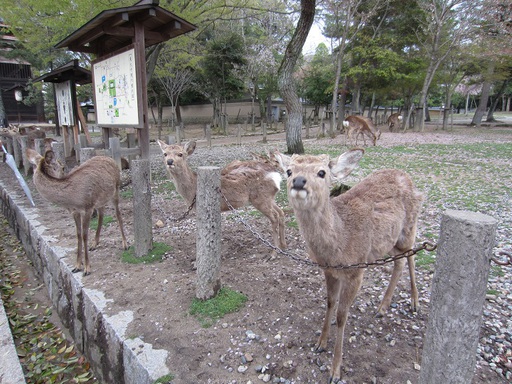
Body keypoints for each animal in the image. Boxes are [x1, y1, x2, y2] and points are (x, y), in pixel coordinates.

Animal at [26, 148, 127, 276]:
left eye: (63, 167)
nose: (64, 173)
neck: (72, 199)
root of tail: (109, 158)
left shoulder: (87, 207)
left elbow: (84, 235)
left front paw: (87, 268)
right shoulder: (75, 211)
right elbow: (78, 235)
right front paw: (77, 266)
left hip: (116, 189)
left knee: (118, 214)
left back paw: (125, 244)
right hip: (100, 199)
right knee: (102, 213)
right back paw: (94, 243)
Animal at [156, 141, 286, 252]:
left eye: (180, 154)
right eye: (165, 154)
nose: (169, 161)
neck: (192, 192)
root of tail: (275, 174)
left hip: (260, 198)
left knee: (274, 217)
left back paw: (274, 252)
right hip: (269, 197)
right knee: (281, 212)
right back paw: (283, 246)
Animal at [274, 148, 422, 382]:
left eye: (322, 172)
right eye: (288, 171)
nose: (298, 181)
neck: (339, 241)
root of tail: (408, 177)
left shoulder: (356, 270)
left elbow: (342, 316)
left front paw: (335, 370)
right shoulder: (329, 271)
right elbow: (329, 303)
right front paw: (320, 343)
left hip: (409, 227)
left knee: (411, 254)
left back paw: (415, 302)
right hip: (387, 242)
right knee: (399, 261)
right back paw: (382, 307)